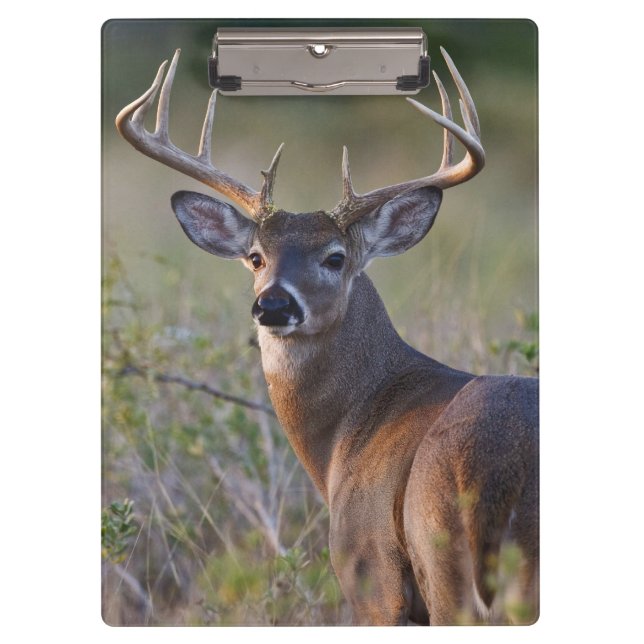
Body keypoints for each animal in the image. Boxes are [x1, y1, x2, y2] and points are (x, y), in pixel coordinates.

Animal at [115, 47, 538, 626]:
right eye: (256, 257)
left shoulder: (371, 573)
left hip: (443, 563)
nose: (273, 304)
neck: (343, 435)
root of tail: (497, 470)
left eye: (335, 258)